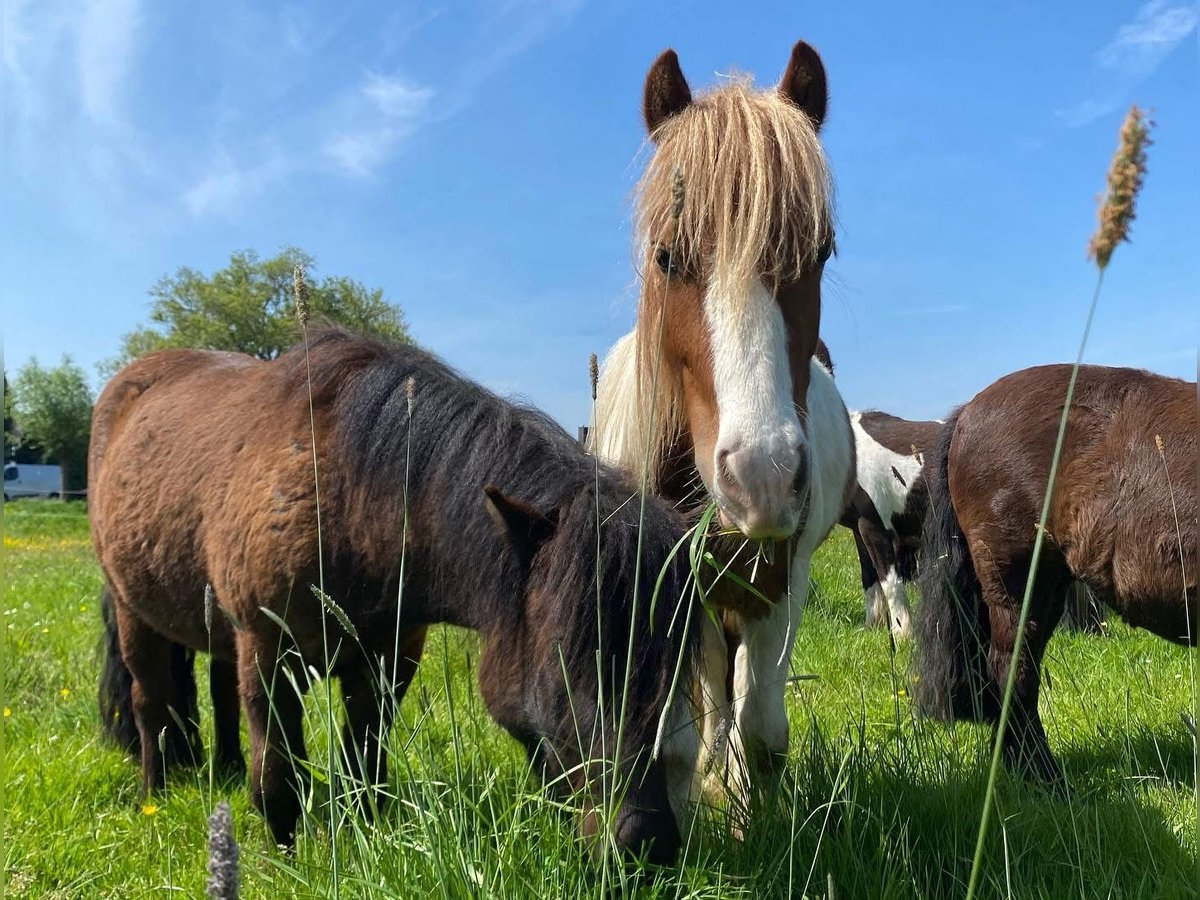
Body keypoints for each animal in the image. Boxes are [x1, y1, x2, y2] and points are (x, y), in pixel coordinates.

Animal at [96, 328, 700, 859]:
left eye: (667, 674)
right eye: (563, 667)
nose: (648, 841)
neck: (350, 499)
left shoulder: (390, 659)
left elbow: (364, 768)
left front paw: (360, 835)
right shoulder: (268, 653)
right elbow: (277, 781)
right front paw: (284, 858)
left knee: (218, 694)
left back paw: (220, 766)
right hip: (134, 615)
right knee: (148, 704)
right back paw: (154, 791)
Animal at [588, 42, 854, 816]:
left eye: (819, 252)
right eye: (667, 256)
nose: (763, 477)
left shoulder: (781, 579)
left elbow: (762, 731)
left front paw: (745, 809)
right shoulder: (663, 590)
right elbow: (676, 732)